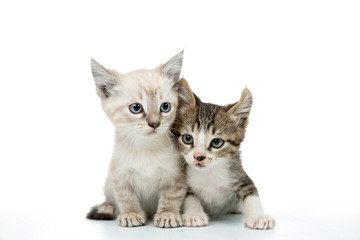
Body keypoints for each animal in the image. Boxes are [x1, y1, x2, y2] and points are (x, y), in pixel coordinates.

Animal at [87, 51, 187, 228]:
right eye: (136, 108)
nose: (155, 124)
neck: (145, 147)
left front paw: (167, 214)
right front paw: (131, 214)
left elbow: (171, 196)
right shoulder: (119, 174)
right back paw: (106, 207)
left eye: (165, 106)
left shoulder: (175, 175)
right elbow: (125, 196)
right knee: (109, 197)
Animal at [174, 79, 276, 229]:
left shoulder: (240, 176)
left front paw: (259, 217)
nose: (199, 156)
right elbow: (189, 197)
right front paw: (194, 214)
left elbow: (252, 195)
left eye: (217, 142)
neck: (208, 173)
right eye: (187, 138)